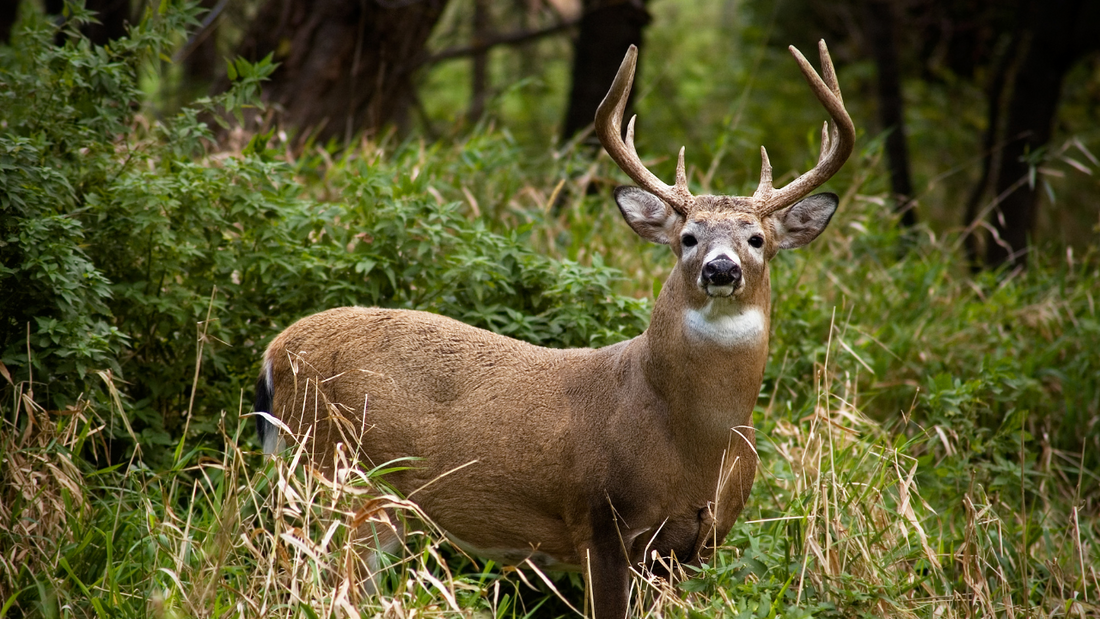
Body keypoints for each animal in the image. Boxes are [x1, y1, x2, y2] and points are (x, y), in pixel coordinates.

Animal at [253, 41, 853, 615]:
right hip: (337, 474)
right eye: (688, 236)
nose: (721, 269)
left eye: (757, 239)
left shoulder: (698, 545)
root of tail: (275, 350)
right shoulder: (600, 520)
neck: (693, 442)